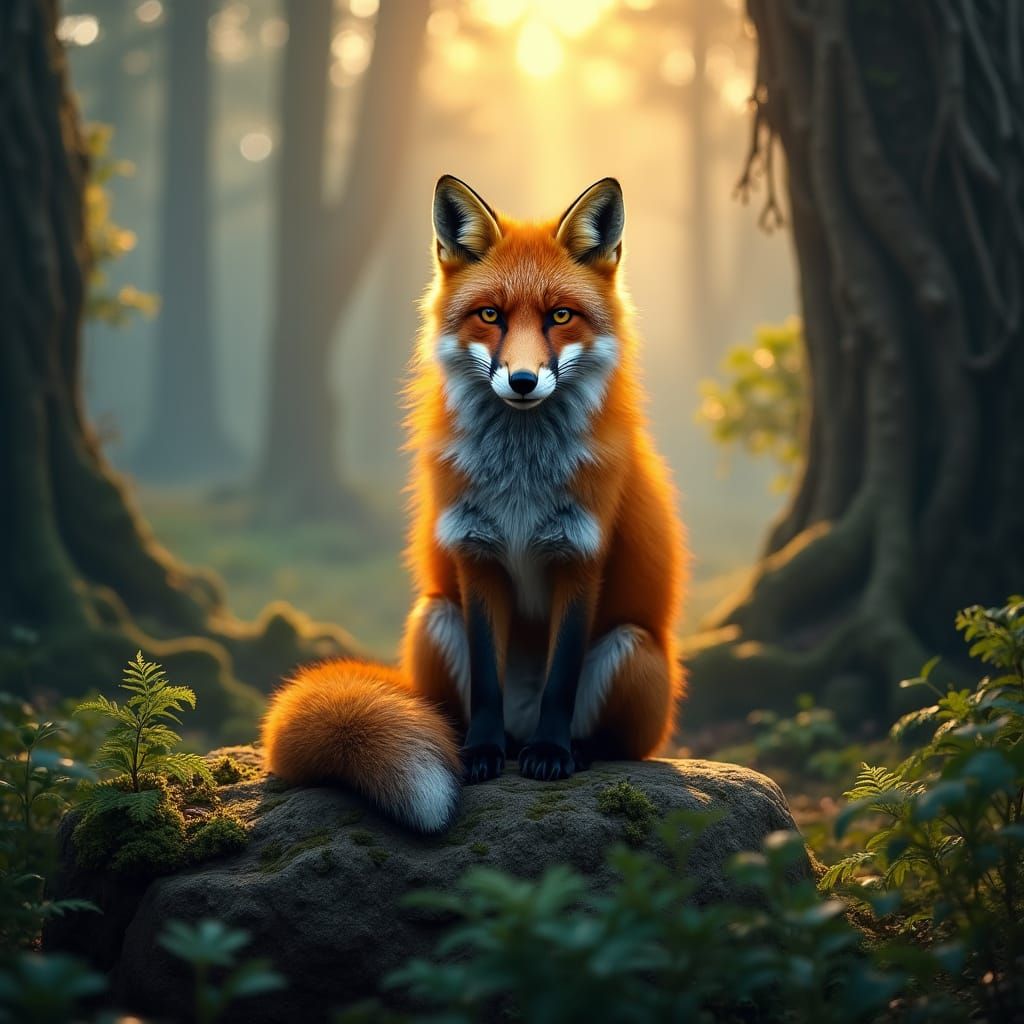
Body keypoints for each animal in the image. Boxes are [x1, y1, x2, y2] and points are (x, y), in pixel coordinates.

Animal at [261, 175, 687, 834]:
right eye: (490, 315)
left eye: (560, 316)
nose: (522, 381)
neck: (521, 481)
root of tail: (521, 720)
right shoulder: (475, 552)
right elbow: (486, 678)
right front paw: (482, 754)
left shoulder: (581, 555)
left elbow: (562, 680)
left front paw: (552, 754)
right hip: (433, 618)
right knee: (447, 714)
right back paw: (487, 744)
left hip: (631, 649)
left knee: (619, 742)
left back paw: (570, 748)